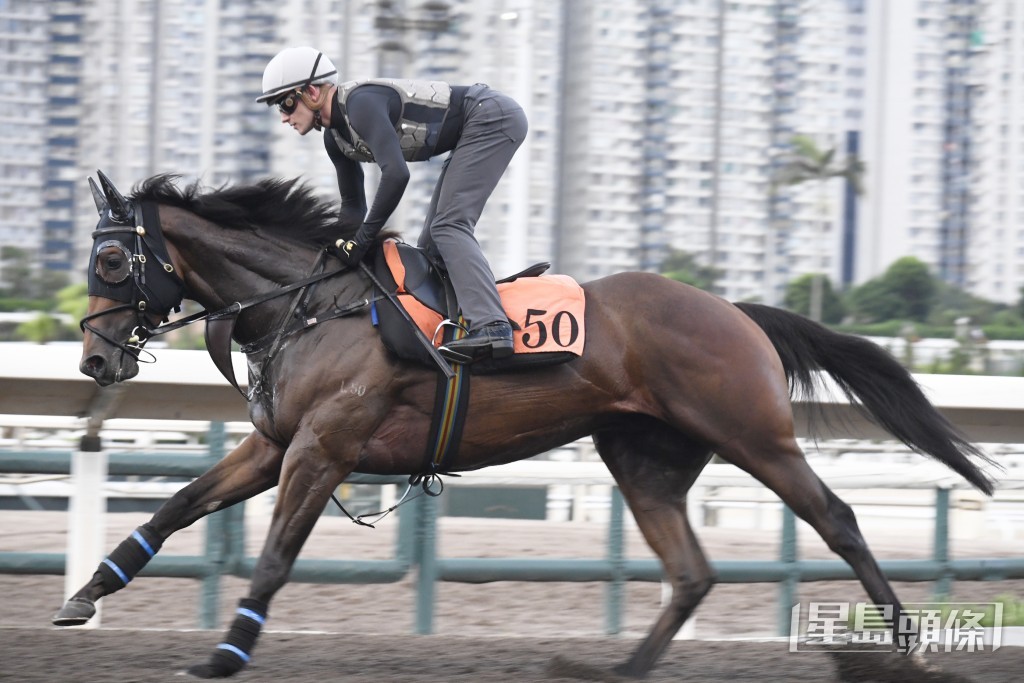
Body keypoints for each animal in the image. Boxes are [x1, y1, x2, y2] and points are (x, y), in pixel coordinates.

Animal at [58, 171, 996, 679]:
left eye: (110, 259)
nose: (97, 363)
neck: (319, 304)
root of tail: (737, 311)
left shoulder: (323, 449)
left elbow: (277, 554)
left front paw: (226, 652)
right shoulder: (274, 443)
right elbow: (174, 507)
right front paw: (85, 594)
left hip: (752, 434)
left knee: (836, 517)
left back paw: (908, 648)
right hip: (643, 458)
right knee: (691, 571)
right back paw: (620, 667)